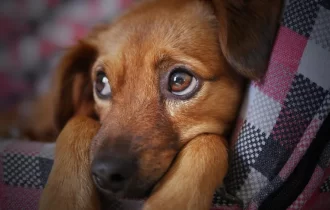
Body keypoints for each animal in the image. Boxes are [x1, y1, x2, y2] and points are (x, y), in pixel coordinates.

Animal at [38, 0, 282, 209]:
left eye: (179, 80)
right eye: (101, 83)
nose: (106, 173)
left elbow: (208, 142)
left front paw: (172, 200)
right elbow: (77, 122)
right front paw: (66, 198)